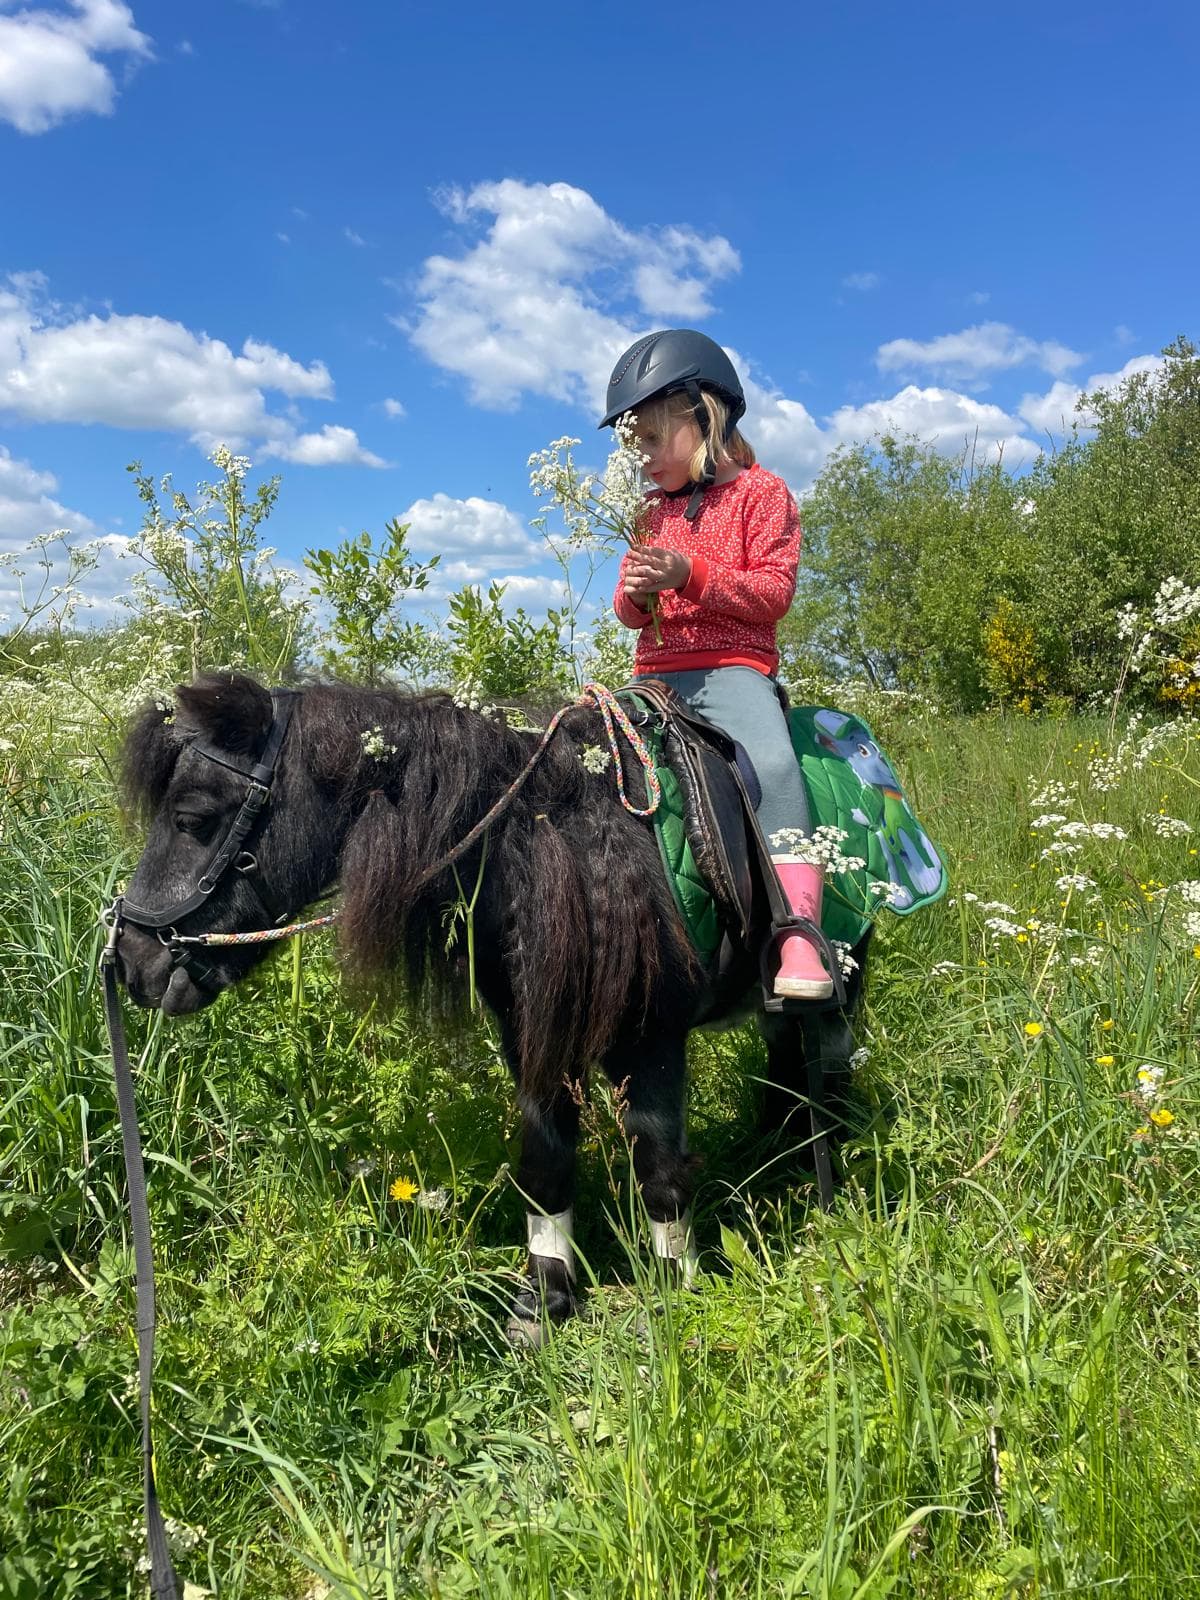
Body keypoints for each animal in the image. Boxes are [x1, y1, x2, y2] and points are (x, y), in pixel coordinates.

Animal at [112, 672, 868, 1340]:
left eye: (191, 818)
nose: (130, 961)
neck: (572, 847)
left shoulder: (653, 1041)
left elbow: (659, 1174)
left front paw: (673, 1297)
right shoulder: (532, 1036)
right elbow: (543, 1165)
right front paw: (545, 1300)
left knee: (827, 1059)